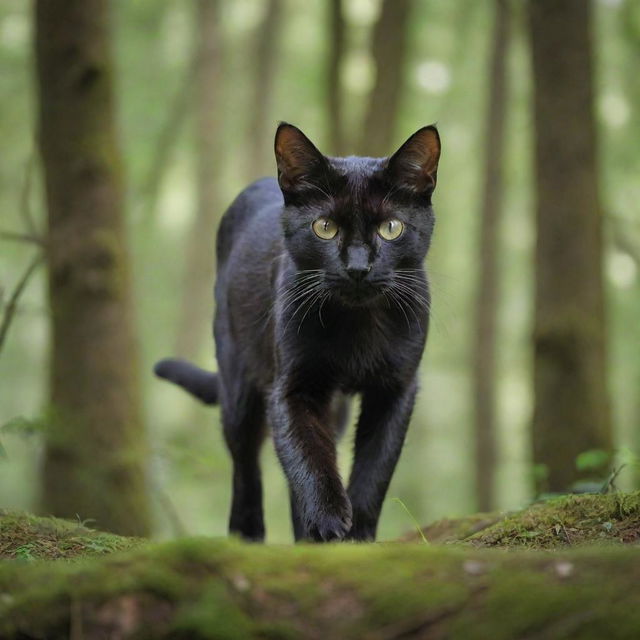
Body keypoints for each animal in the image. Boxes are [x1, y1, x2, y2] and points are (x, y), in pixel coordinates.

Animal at [158, 122, 442, 544]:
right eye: (325, 228)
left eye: (391, 228)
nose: (358, 267)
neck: (357, 324)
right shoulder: (292, 387)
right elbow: (308, 459)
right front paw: (328, 522)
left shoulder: (396, 389)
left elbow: (375, 468)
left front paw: (357, 534)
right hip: (238, 386)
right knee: (246, 467)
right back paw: (248, 535)